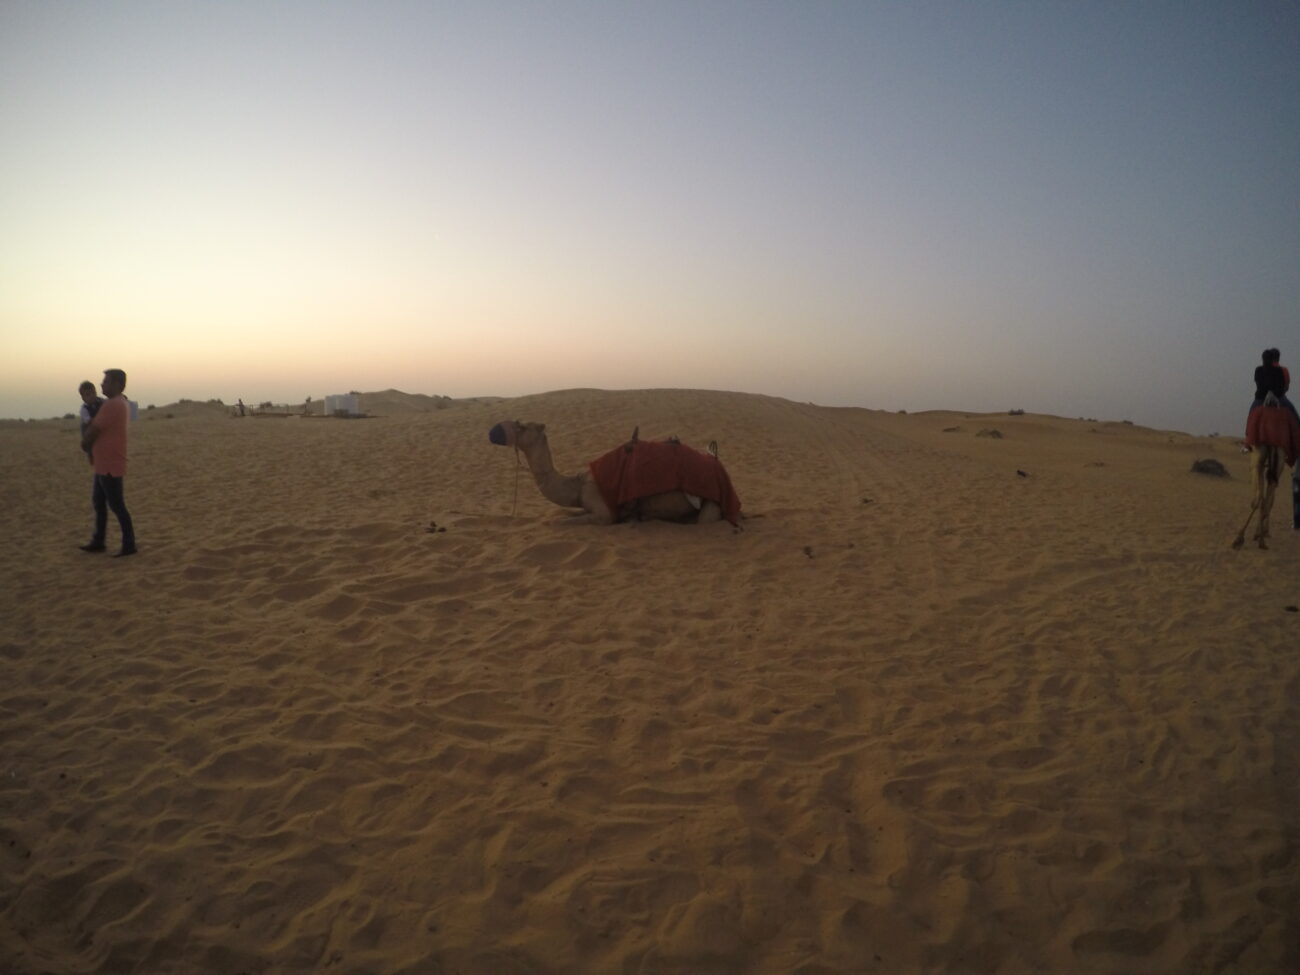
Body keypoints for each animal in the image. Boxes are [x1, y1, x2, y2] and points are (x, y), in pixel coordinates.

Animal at [488, 421, 743, 527]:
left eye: (521, 426)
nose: (492, 431)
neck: (578, 485)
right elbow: (564, 514)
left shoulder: (604, 513)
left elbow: (561, 522)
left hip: (711, 504)